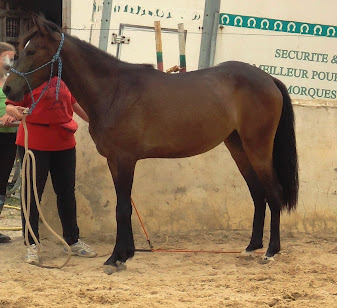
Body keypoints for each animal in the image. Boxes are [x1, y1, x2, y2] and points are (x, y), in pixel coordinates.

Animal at [2, 17, 296, 274]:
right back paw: (251, 247)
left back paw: (271, 251)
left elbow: (122, 209)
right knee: (258, 195)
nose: (8, 90)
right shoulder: (115, 161)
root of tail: (268, 79)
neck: (114, 91)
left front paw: (115, 258)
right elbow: (125, 207)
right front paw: (124, 255)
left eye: (32, 51)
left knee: (273, 194)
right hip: (238, 148)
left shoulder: (124, 159)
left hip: (257, 148)